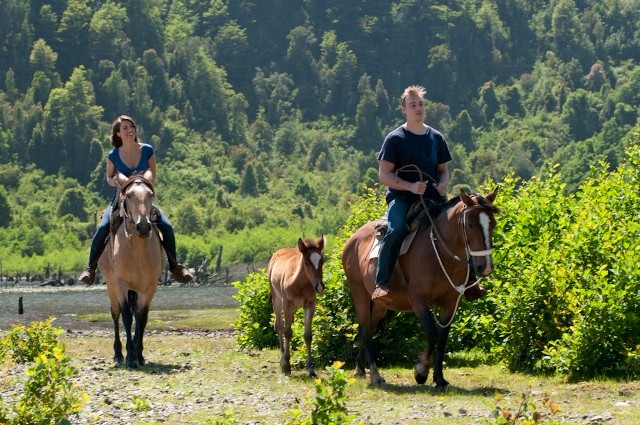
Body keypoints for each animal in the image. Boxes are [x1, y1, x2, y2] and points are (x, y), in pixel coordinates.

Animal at [97, 169, 164, 368]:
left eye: (150, 195)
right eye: (128, 195)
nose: (143, 226)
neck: (137, 251)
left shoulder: (150, 286)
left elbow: (142, 317)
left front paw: (138, 354)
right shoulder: (121, 284)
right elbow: (126, 316)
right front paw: (128, 356)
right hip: (111, 285)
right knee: (115, 313)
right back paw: (118, 353)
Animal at [268, 234, 324, 376]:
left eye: (322, 261)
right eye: (306, 263)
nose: (320, 286)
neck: (299, 282)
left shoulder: (310, 305)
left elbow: (308, 335)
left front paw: (310, 368)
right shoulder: (287, 304)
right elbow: (287, 332)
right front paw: (286, 365)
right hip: (277, 300)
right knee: (279, 325)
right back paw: (282, 358)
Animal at [342, 189, 498, 388]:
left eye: (492, 224)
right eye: (470, 225)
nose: (485, 267)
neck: (438, 251)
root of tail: (352, 241)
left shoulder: (450, 303)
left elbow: (442, 338)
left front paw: (439, 378)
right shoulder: (418, 302)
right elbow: (432, 333)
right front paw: (421, 372)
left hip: (380, 304)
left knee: (368, 328)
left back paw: (360, 369)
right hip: (359, 293)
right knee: (364, 327)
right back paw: (375, 376)